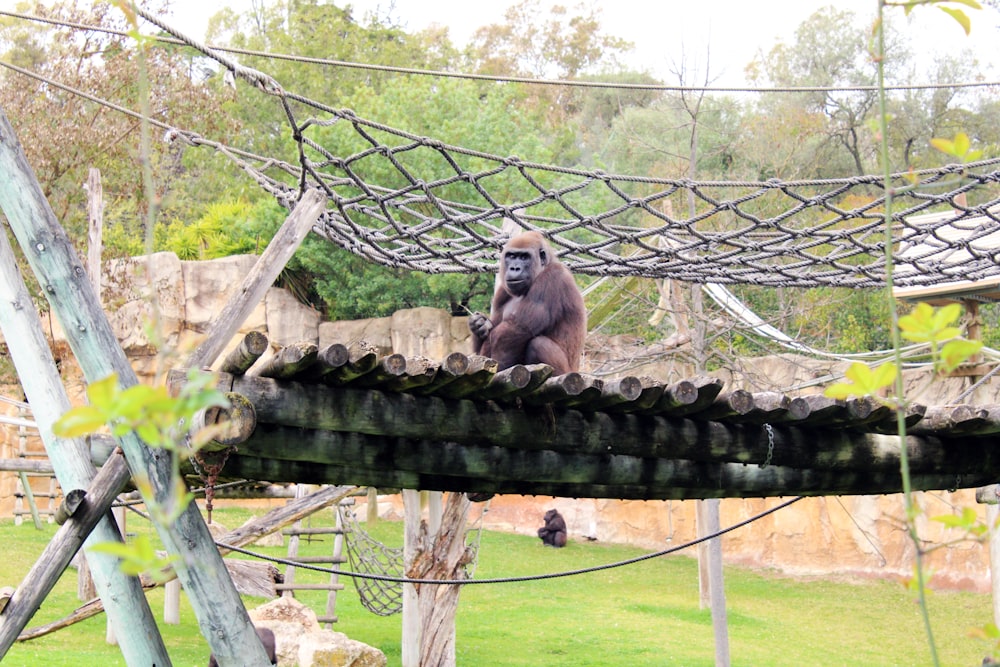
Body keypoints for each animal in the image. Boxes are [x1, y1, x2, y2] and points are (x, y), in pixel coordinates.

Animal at [468, 232, 584, 376]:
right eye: (511, 256)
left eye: (524, 257)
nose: (514, 268)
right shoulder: (503, 291)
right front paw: (478, 324)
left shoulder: (553, 277)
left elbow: (517, 329)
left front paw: (500, 367)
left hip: (568, 372)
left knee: (538, 345)